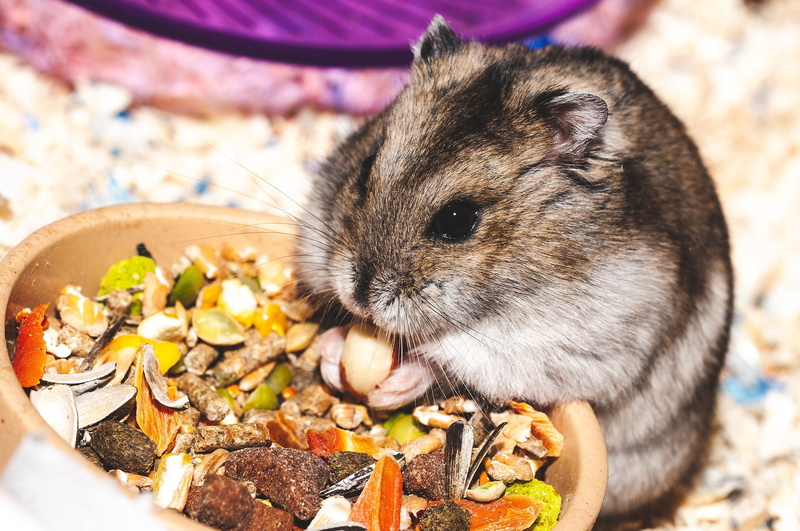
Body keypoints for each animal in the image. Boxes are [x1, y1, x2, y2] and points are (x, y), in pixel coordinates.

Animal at [297, 16, 733, 518]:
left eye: (457, 220)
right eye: (367, 168)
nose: (360, 295)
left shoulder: (549, 350)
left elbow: (446, 361)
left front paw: (396, 380)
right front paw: (333, 356)